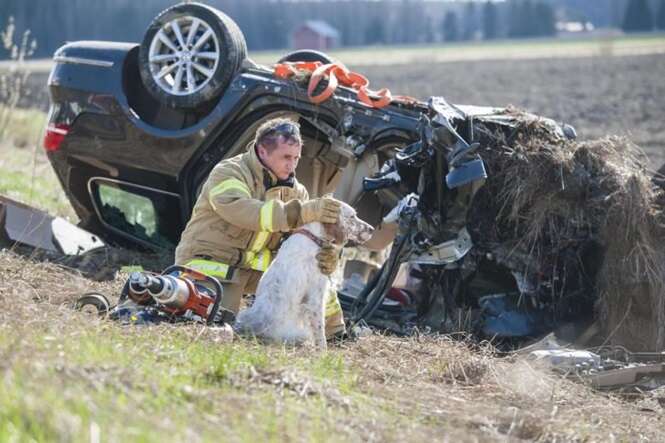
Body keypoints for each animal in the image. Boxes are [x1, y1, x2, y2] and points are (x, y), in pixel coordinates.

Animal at [233, 202, 374, 350]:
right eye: (352, 217)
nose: (372, 229)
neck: (313, 237)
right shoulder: (315, 296)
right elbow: (320, 329)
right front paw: (323, 351)